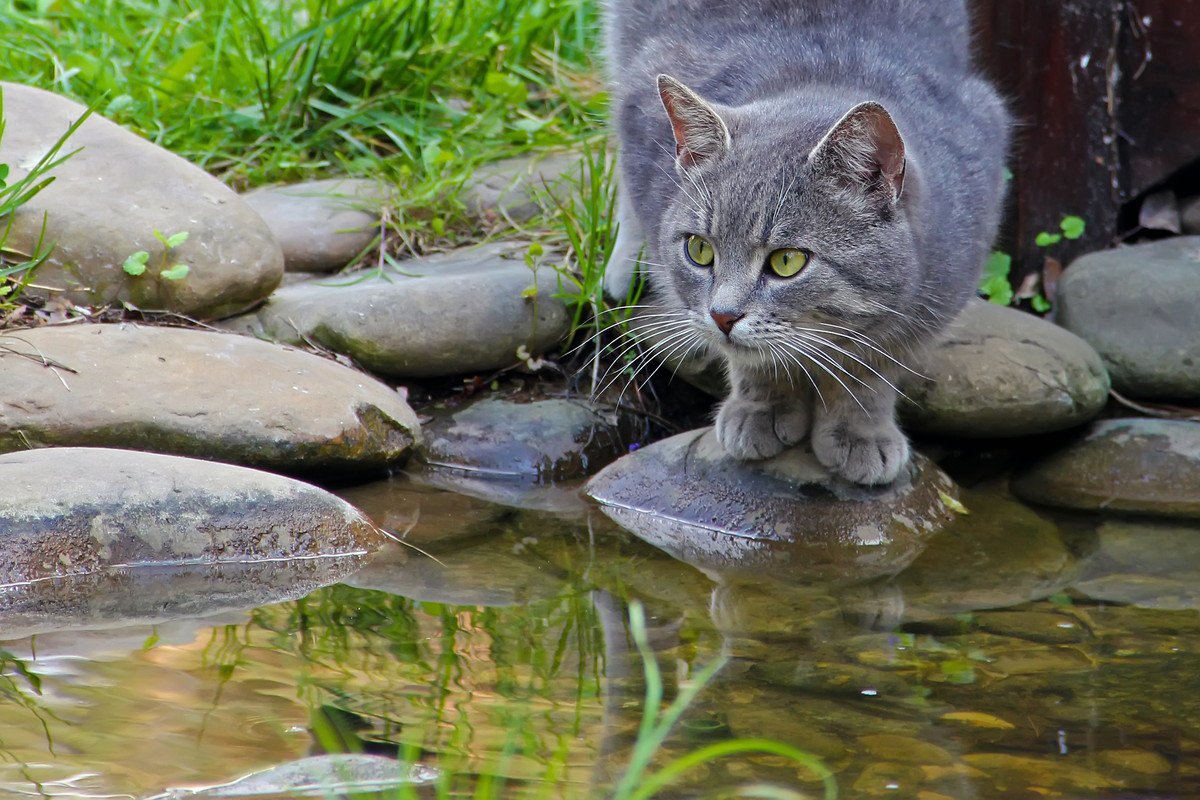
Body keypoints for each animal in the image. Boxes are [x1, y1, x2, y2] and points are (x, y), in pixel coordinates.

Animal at [604, 0, 1008, 484]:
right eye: (699, 250)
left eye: (787, 261)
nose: (722, 316)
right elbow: (753, 360)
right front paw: (760, 407)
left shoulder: (930, 303)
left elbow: (871, 368)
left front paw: (860, 431)